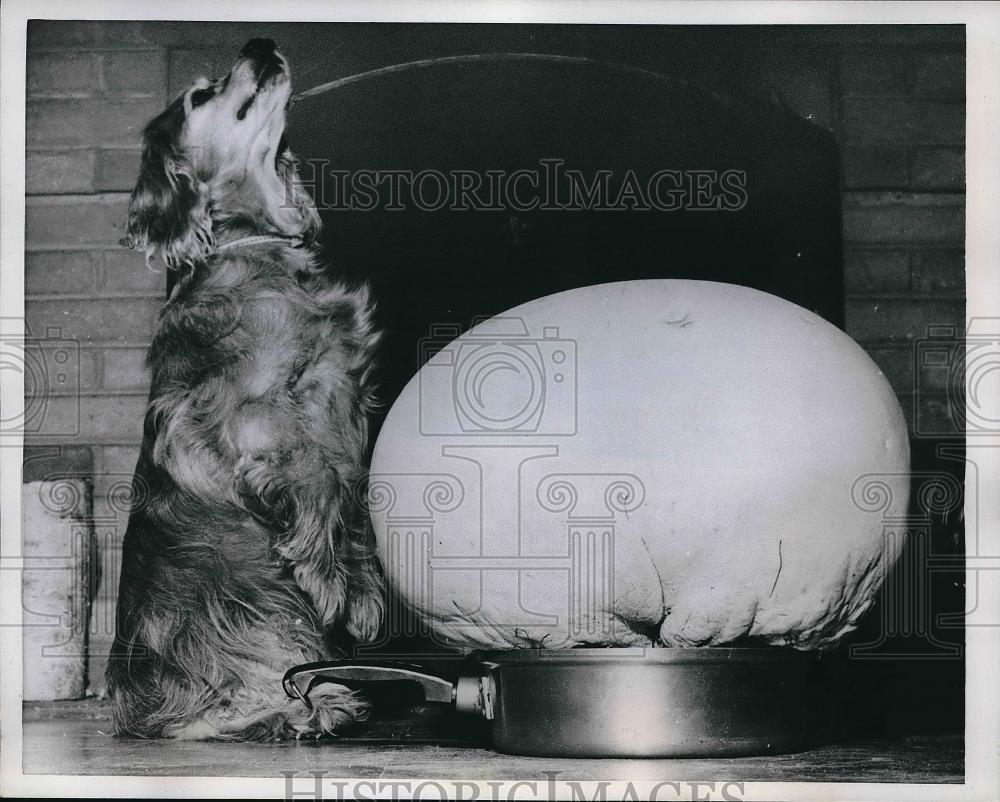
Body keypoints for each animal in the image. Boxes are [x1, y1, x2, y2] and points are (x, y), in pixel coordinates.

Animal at [107, 37, 384, 736]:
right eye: (201, 95)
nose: (260, 42)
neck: (252, 251)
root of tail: (137, 710)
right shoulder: (252, 422)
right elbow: (320, 476)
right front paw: (328, 577)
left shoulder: (347, 401)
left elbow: (358, 492)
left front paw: (365, 591)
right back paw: (316, 704)